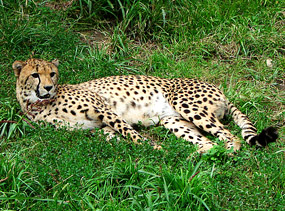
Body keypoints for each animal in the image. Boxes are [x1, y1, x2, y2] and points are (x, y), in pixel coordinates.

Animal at [12, 58, 276, 152]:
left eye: (52, 74)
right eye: (35, 75)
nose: (48, 87)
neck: (38, 105)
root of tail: (219, 89)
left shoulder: (104, 109)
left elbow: (130, 132)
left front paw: (154, 148)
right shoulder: (97, 127)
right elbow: (114, 136)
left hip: (185, 103)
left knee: (232, 136)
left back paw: (227, 151)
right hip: (174, 121)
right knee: (209, 140)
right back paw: (196, 156)